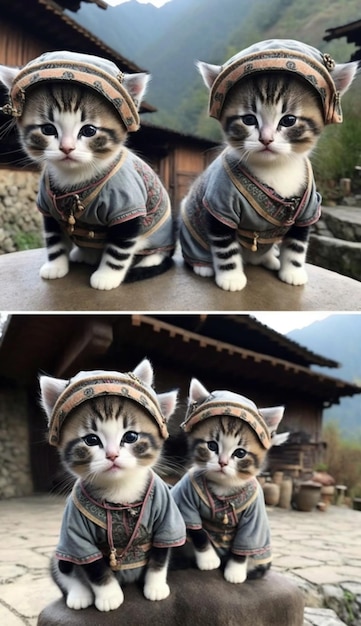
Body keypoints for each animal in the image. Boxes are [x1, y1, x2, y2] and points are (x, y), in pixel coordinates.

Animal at [0, 51, 174, 290]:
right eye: (48, 129)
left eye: (89, 130)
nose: (67, 148)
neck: (76, 178)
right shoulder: (48, 207)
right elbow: (54, 239)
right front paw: (55, 266)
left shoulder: (129, 207)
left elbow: (119, 248)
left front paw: (107, 276)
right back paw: (85, 254)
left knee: (155, 253)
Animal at [39, 358, 186, 608]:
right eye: (91, 440)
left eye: (131, 437)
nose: (112, 455)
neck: (120, 490)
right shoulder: (75, 530)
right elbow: (93, 566)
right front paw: (109, 596)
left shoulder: (167, 517)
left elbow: (160, 553)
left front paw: (155, 586)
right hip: (61, 551)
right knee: (63, 567)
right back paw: (79, 594)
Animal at [170, 378, 286, 584]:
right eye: (212, 446)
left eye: (240, 453)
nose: (223, 462)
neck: (223, 488)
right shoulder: (185, 498)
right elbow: (198, 531)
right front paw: (208, 559)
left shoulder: (255, 517)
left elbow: (245, 542)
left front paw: (235, 572)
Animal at [180, 39, 358, 290]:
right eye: (248, 119)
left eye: (289, 120)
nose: (266, 139)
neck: (275, 169)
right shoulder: (218, 205)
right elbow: (225, 248)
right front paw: (231, 277)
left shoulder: (308, 210)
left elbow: (297, 245)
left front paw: (292, 272)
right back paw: (203, 266)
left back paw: (270, 259)